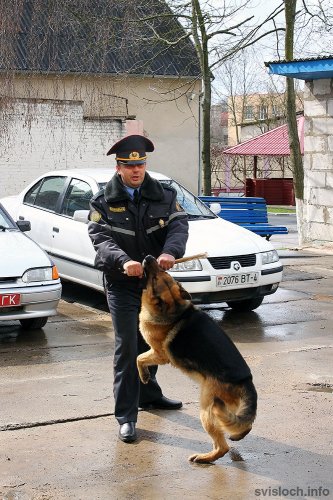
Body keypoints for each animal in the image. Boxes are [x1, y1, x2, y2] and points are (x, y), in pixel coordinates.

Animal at [137, 256, 256, 462]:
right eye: (163, 271)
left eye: (155, 278)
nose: (149, 257)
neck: (174, 309)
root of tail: (246, 380)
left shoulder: (159, 354)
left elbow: (139, 358)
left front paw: (144, 376)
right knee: (242, 424)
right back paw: (237, 435)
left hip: (207, 410)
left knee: (222, 447)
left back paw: (204, 458)